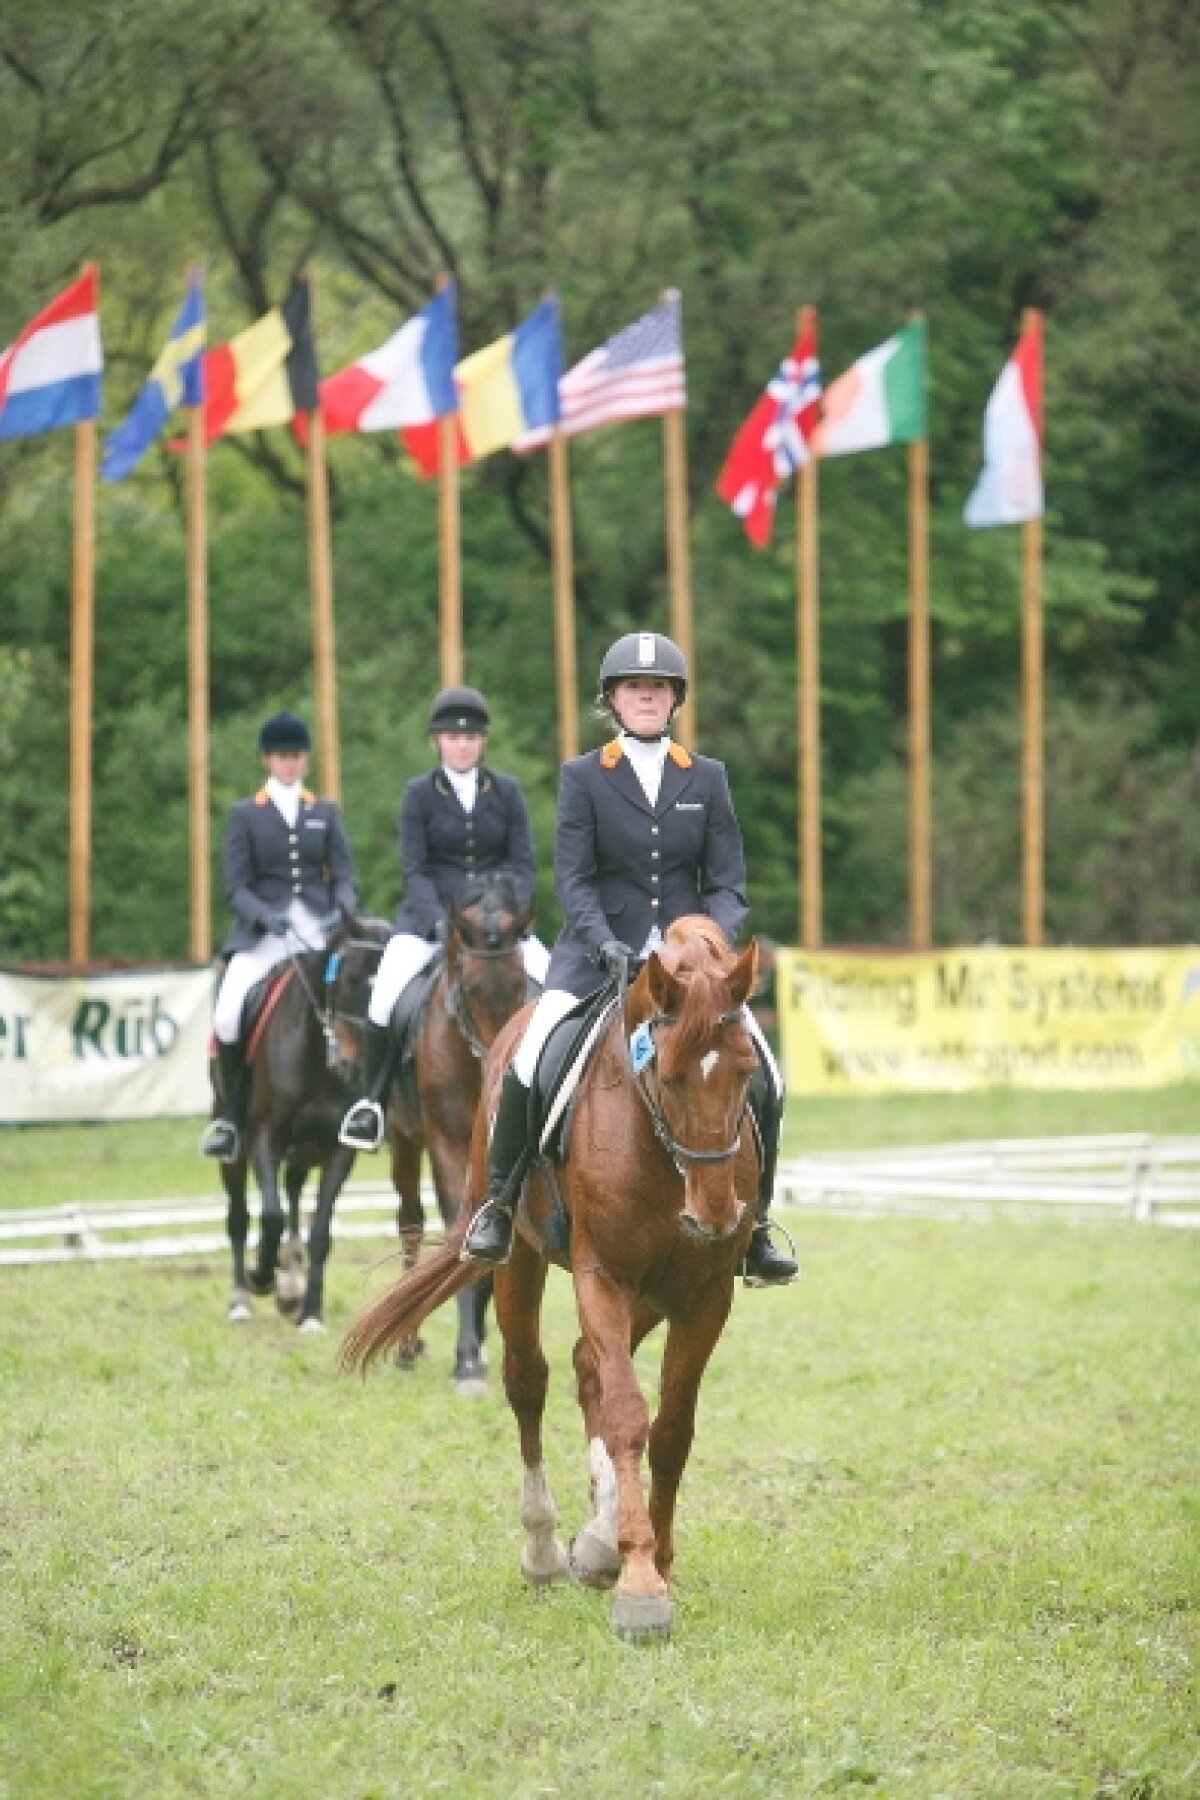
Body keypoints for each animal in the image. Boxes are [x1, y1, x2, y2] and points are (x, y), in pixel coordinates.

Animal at [215, 915, 390, 1331]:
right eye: (349, 979)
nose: (353, 1067)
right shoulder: (265, 1139)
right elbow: (270, 1215)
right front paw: (262, 1275)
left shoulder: (340, 1149)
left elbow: (320, 1232)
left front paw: (310, 1312)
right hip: (233, 1145)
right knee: (239, 1216)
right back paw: (242, 1298)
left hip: (308, 1147)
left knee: (293, 1186)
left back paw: (290, 1280)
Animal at [385, 870, 535, 1395]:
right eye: (468, 987)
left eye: (519, 983)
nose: (502, 1067)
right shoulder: (447, 1145)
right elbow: (456, 1228)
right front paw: (467, 1359)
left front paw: (480, 1345)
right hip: (403, 1139)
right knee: (410, 1221)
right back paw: (408, 1345)